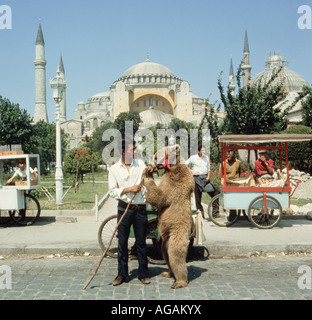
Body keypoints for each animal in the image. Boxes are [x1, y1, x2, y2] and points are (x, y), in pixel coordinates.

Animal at [143, 146, 194, 288]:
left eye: (155, 156)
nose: (149, 163)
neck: (171, 167)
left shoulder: (173, 183)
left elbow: (160, 196)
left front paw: (147, 174)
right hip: (164, 241)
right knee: (165, 253)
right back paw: (168, 273)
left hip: (178, 230)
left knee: (175, 254)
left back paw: (180, 281)